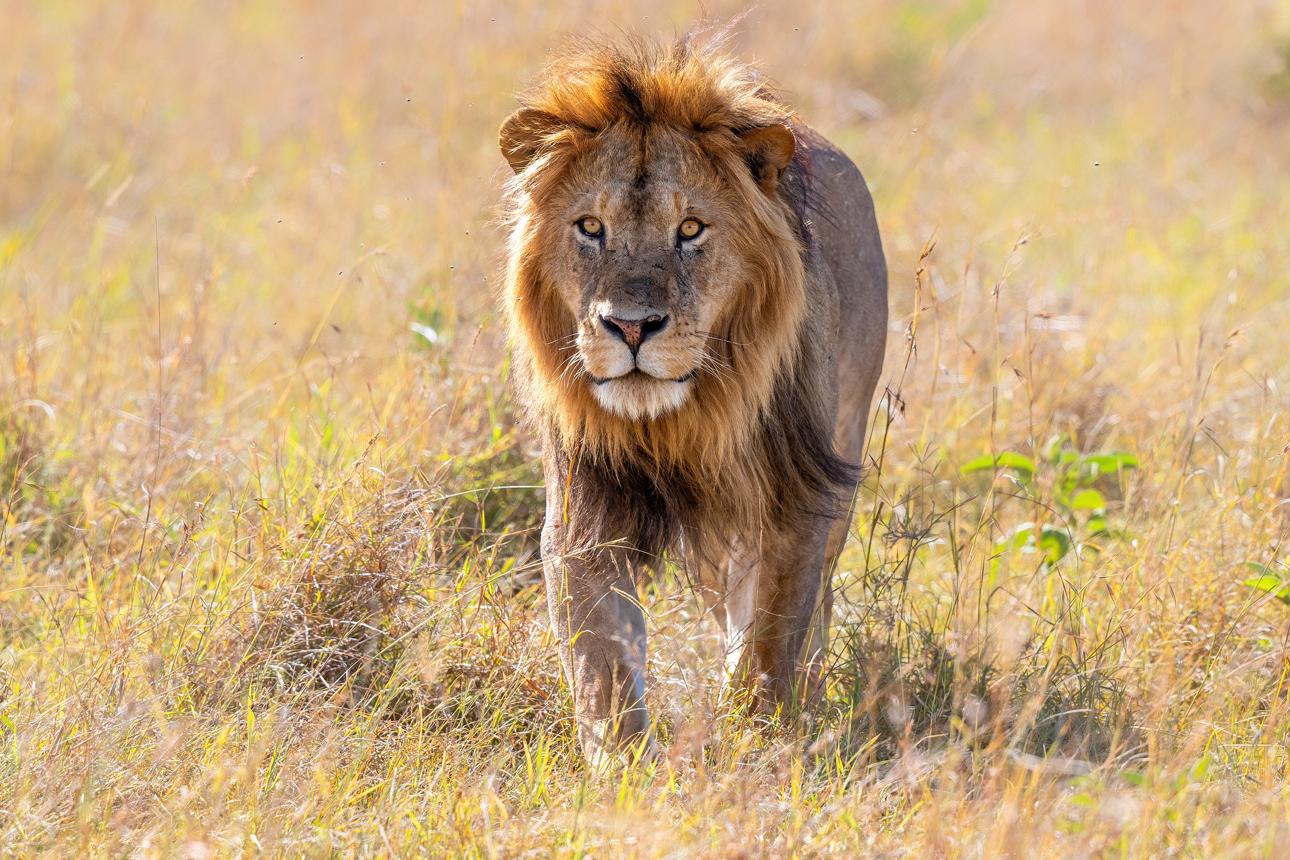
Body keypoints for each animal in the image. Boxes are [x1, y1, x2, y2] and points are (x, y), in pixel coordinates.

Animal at [499, 34, 888, 766]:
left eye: (690, 229)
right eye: (589, 226)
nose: (630, 327)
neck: (677, 422)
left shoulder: (797, 499)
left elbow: (771, 639)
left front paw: (758, 739)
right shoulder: (585, 512)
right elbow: (601, 661)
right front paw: (623, 768)